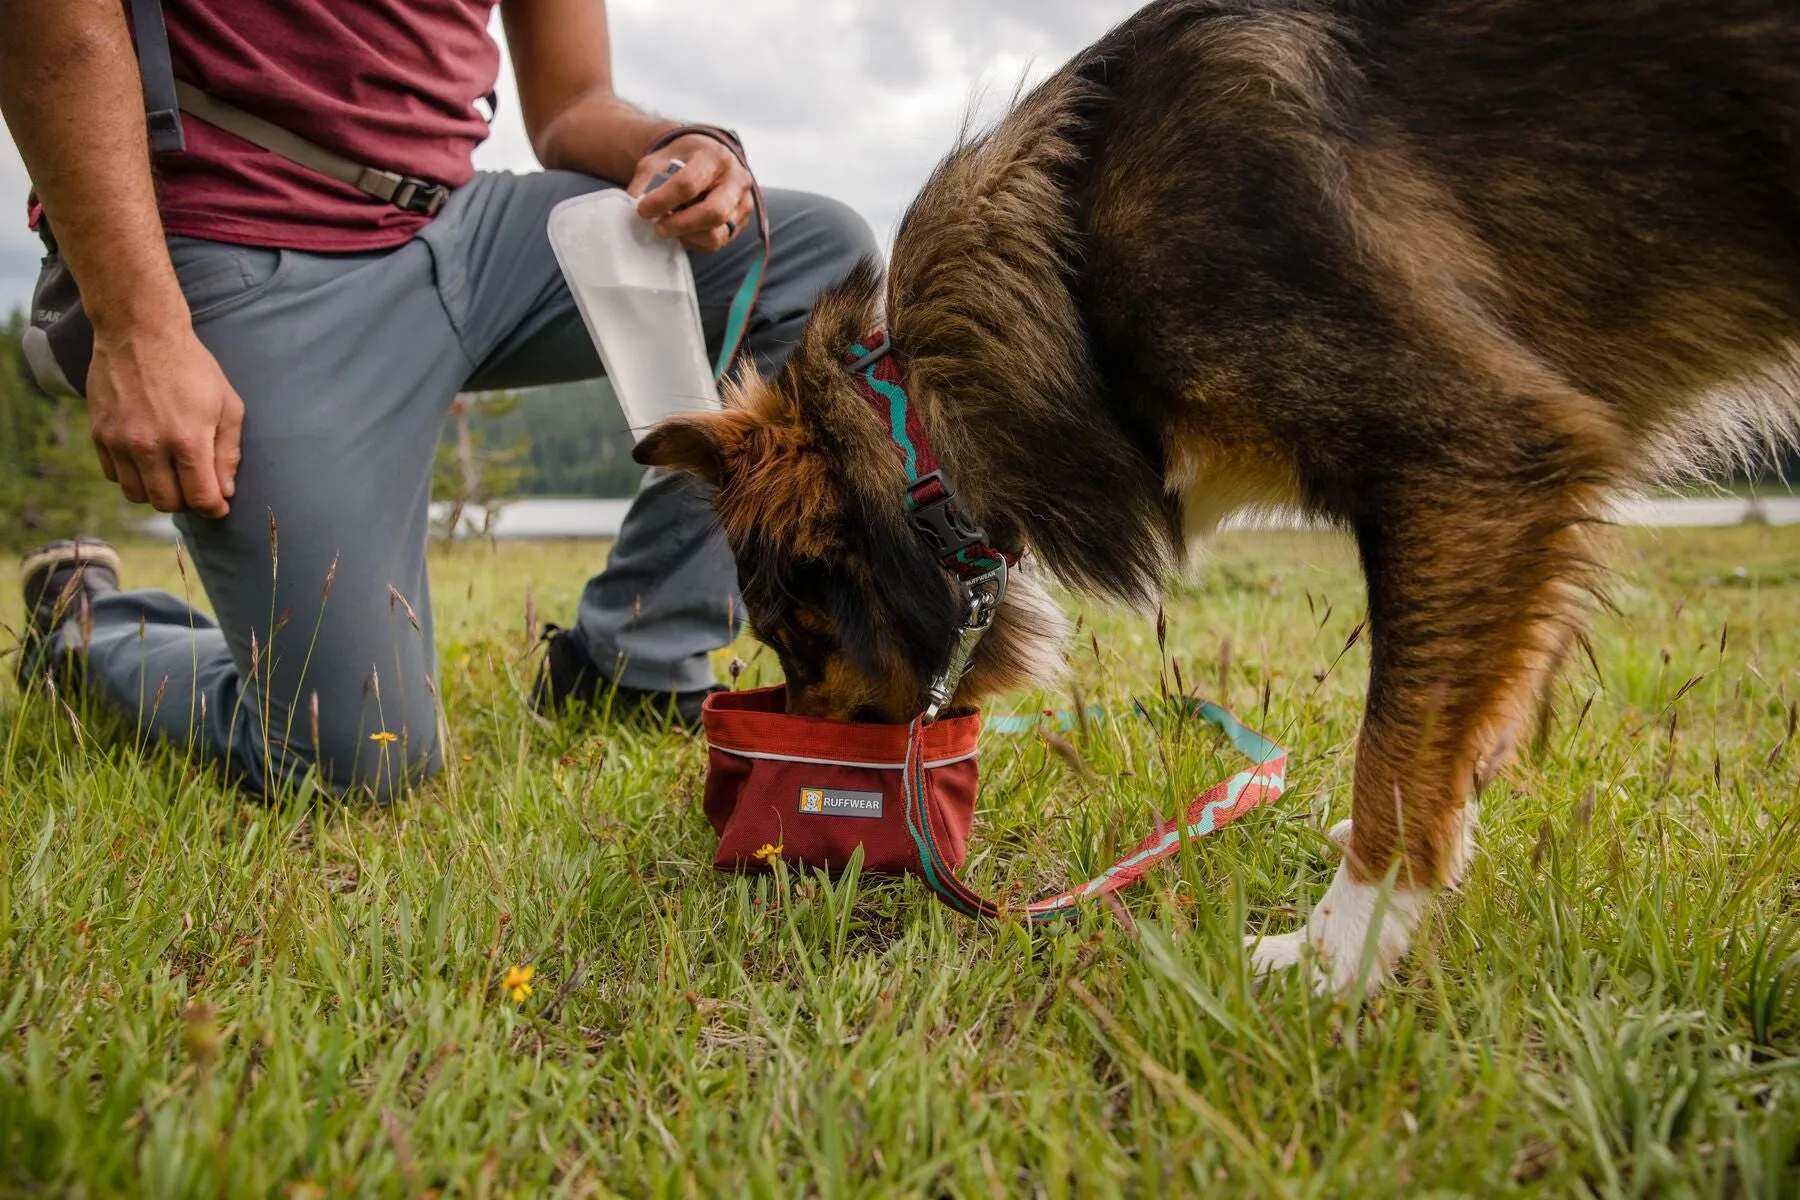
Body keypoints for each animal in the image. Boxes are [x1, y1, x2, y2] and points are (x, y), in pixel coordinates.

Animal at [633, 0, 1800, 993]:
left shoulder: (1477, 454)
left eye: (792, 637)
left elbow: (1394, 756)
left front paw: (1332, 959)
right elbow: (1451, 732)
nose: (788, 768)